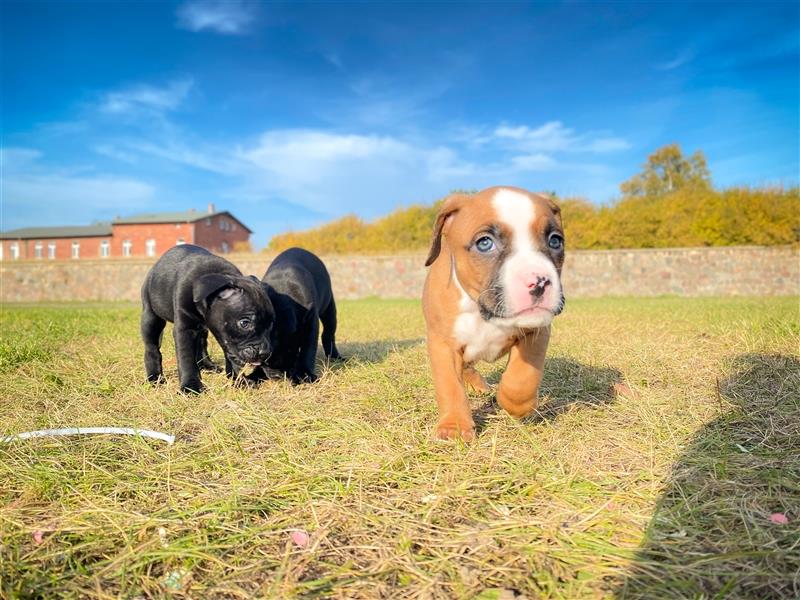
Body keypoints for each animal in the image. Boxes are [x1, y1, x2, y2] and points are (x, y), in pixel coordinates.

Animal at [139, 244, 274, 394]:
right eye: (245, 323)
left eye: (271, 325)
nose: (265, 353)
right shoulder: (185, 330)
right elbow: (186, 359)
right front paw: (190, 387)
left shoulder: (223, 334)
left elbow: (231, 355)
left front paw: (241, 381)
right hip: (151, 318)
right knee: (152, 348)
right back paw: (155, 377)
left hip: (203, 329)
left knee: (201, 343)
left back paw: (207, 365)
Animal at [260, 246, 340, 382]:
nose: (279, 373)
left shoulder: (310, 322)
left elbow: (307, 350)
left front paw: (305, 374)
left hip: (329, 309)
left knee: (328, 333)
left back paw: (334, 356)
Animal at [422, 186, 564, 440]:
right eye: (485, 243)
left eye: (555, 240)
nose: (539, 281)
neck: (483, 313)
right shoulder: (443, 344)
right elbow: (450, 385)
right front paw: (454, 426)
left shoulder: (537, 332)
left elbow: (522, 379)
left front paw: (515, 405)